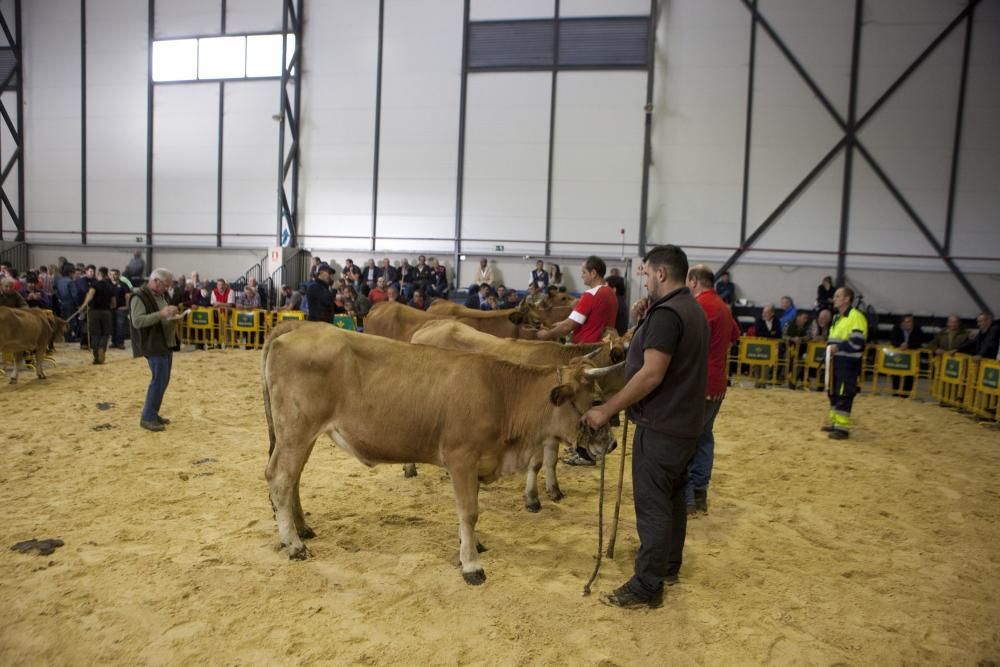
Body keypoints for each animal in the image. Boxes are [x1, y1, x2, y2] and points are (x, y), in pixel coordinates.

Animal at [408, 318, 624, 512]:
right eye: (596, 400)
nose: (613, 444)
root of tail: (433, 324)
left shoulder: (551, 433)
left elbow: (551, 460)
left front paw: (554, 490)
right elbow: (536, 463)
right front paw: (532, 499)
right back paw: (410, 468)